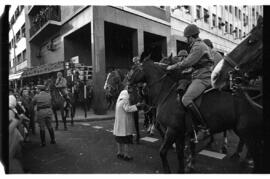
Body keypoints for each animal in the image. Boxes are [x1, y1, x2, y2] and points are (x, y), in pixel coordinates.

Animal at [129, 24, 264, 172]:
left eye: (135, 68)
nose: (128, 83)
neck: (166, 92)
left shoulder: (173, 130)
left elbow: (163, 151)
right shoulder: (180, 132)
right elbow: (180, 154)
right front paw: (186, 165)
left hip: (248, 133)